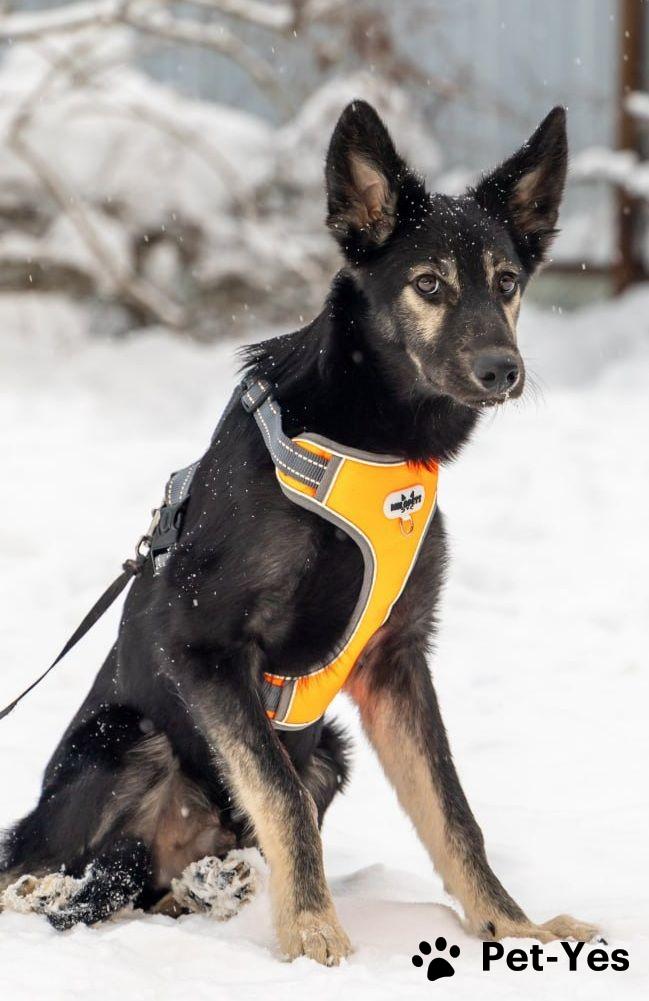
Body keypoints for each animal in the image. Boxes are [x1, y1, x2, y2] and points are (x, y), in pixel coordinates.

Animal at [0, 100, 597, 963]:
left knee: (160, 880)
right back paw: (57, 887)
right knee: (37, 862)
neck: (370, 440)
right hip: (122, 739)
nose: (501, 370)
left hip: (331, 756)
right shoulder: (205, 645)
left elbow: (453, 812)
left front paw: (511, 924)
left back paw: (215, 886)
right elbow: (278, 793)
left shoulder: (395, 661)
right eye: (428, 284)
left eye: (507, 283)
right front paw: (313, 927)